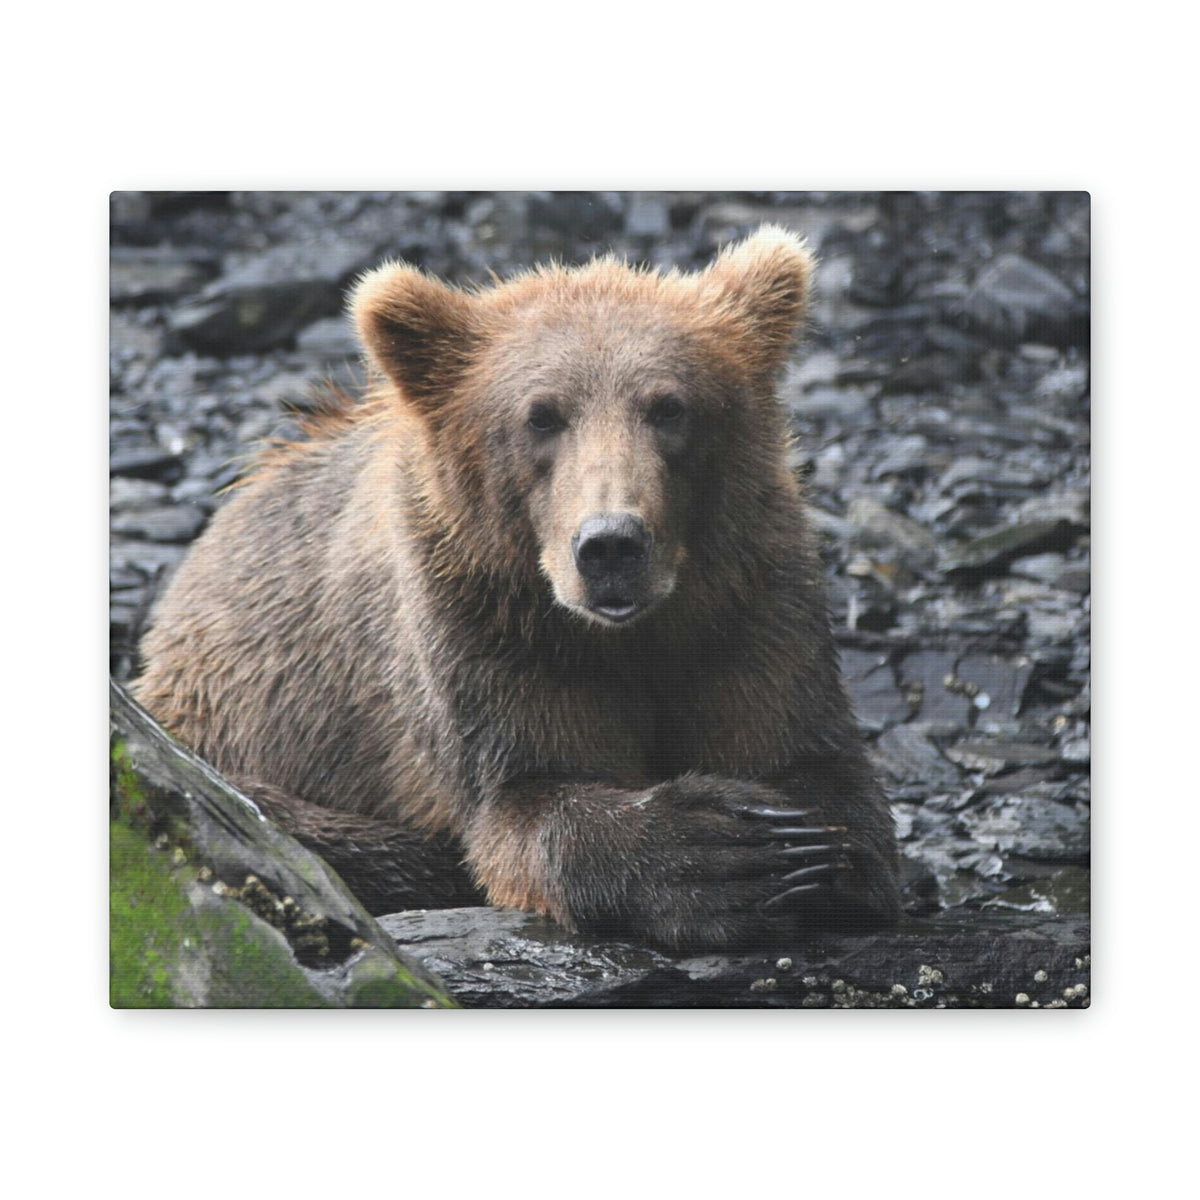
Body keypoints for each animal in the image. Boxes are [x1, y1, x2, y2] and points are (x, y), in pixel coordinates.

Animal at [134, 226, 901, 948]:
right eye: (541, 415)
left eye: (669, 407)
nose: (611, 545)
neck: (628, 634)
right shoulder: (485, 629)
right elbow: (524, 799)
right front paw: (719, 853)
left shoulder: (748, 602)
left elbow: (811, 761)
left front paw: (800, 850)